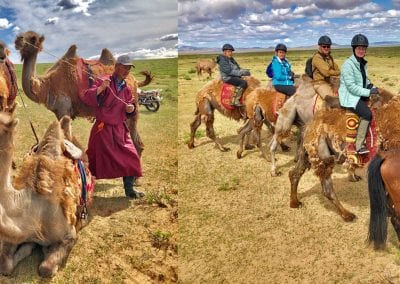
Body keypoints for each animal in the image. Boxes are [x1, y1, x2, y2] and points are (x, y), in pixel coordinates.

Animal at [14, 30, 152, 155]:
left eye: (33, 39)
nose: (17, 40)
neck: (48, 85)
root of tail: (134, 80)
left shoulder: (64, 109)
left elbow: (68, 140)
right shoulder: (59, 113)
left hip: (131, 109)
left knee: (137, 143)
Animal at [288, 91, 396, 222]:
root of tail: (308, 127)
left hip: (308, 153)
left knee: (294, 173)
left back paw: (295, 203)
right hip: (322, 154)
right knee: (326, 188)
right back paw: (347, 214)